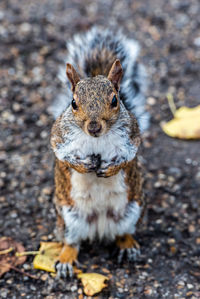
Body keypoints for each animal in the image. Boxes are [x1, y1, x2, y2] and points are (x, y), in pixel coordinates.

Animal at [49, 27, 148, 278]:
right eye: (73, 103)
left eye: (115, 100)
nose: (94, 127)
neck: (96, 140)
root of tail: (100, 226)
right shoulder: (58, 137)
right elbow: (62, 155)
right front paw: (83, 166)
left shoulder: (132, 136)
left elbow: (129, 157)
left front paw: (111, 168)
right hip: (69, 219)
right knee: (71, 242)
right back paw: (66, 260)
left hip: (132, 211)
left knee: (123, 233)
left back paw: (128, 246)